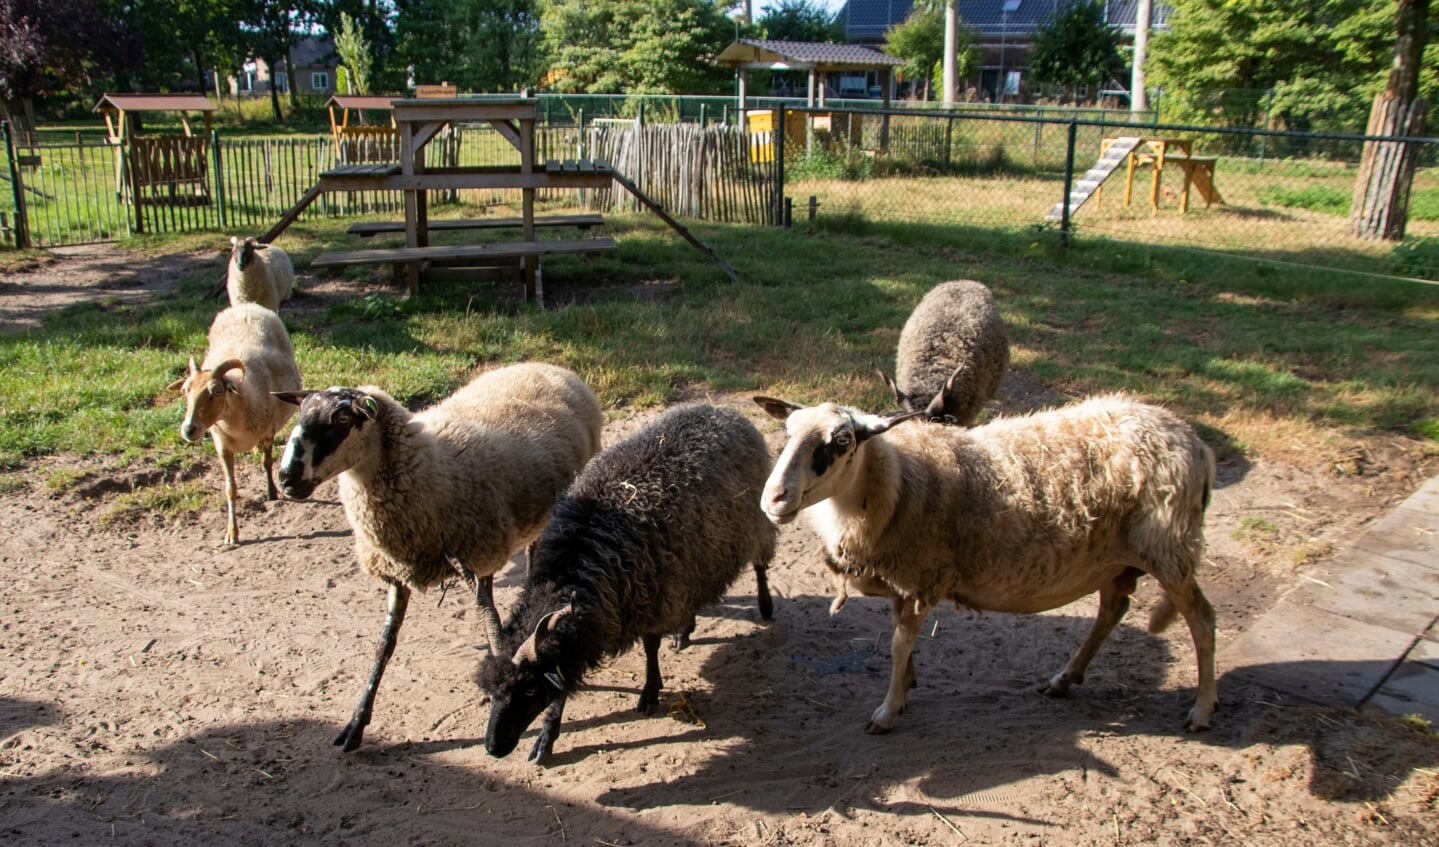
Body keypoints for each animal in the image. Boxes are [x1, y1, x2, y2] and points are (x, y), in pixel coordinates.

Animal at [166, 303, 302, 549]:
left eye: (217, 391)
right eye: (185, 390)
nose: (189, 429)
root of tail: (246, 305)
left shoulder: (268, 432)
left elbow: (267, 462)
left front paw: (271, 492)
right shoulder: (222, 447)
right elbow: (231, 488)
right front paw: (232, 533)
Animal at [274, 363, 601, 753]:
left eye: (341, 418)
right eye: (299, 413)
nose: (286, 478)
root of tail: (550, 367)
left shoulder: (481, 556)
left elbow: (490, 618)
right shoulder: (397, 573)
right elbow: (383, 646)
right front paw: (355, 724)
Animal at [477, 399, 777, 765]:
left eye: (529, 688)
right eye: (490, 691)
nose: (493, 747)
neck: (576, 562)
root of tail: (721, 410)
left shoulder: (652, 596)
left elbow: (650, 647)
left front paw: (650, 692)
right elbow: (562, 684)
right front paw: (546, 739)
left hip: (755, 522)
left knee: (761, 564)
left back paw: (765, 606)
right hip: (692, 562)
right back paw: (684, 630)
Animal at [754, 394, 1214, 736]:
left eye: (842, 441)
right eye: (788, 433)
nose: (774, 498)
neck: (896, 481)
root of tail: (1192, 439)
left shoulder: (923, 576)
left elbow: (899, 643)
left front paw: (886, 711)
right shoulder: (903, 578)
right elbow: (900, 637)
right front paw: (906, 687)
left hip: (1169, 550)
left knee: (1202, 620)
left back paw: (1202, 711)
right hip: (1115, 557)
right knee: (1113, 609)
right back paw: (1065, 680)